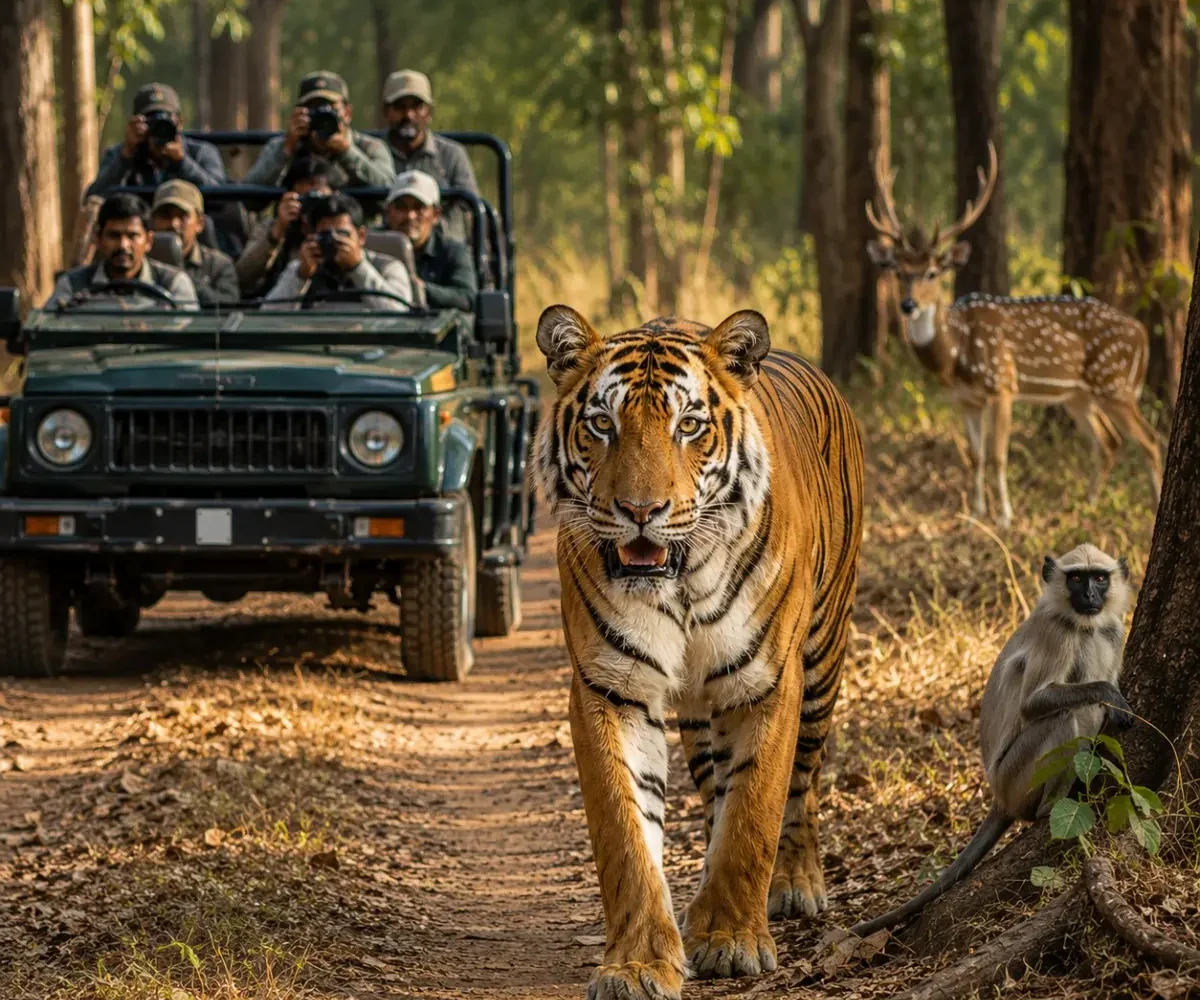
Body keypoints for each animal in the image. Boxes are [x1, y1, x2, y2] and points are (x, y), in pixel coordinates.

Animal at [533, 304, 865, 999]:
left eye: (689, 425)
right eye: (602, 424)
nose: (641, 511)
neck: (679, 583)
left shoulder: (767, 681)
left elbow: (755, 811)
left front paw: (733, 940)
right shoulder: (612, 688)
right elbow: (626, 833)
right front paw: (637, 965)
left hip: (823, 659)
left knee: (803, 783)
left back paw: (794, 883)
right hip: (697, 710)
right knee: (714, 789)